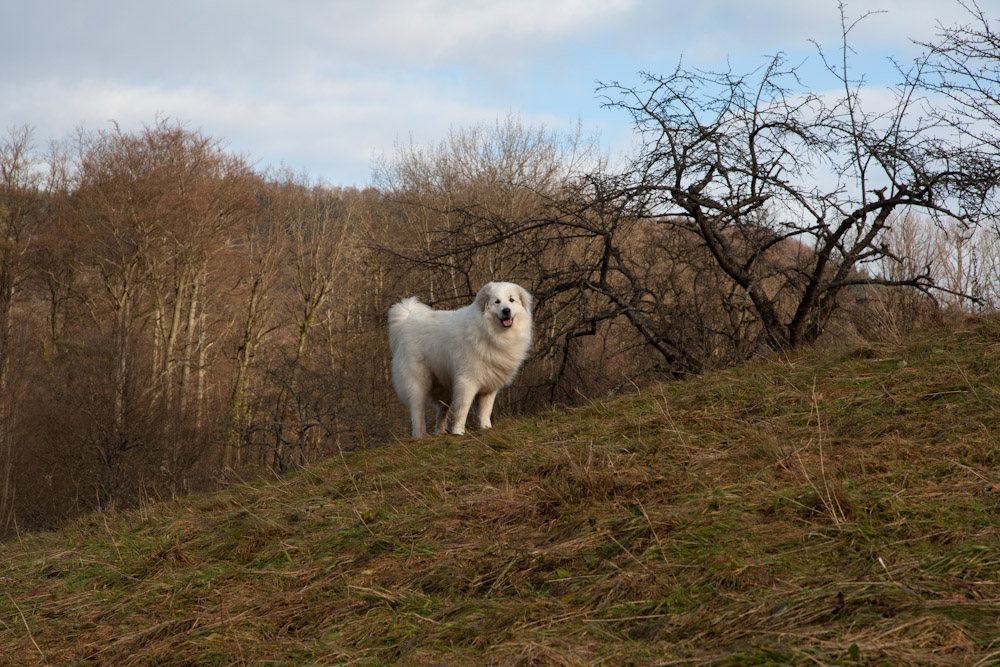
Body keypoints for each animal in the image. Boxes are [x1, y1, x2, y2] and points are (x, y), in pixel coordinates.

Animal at [388, 282, 532, 438]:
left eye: (512, 300)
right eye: (497, 302)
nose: (506, 311)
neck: (490, 332)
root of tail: (407, 320)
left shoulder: (489, 384)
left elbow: (486, 409)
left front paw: (486, 427)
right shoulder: (467, 381)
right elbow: (463, 408)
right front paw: (458, 431)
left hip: (445, 387)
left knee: (441, 412)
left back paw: (441, 432)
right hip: (418, 382)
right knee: (417, 411)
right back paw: (420, 435)